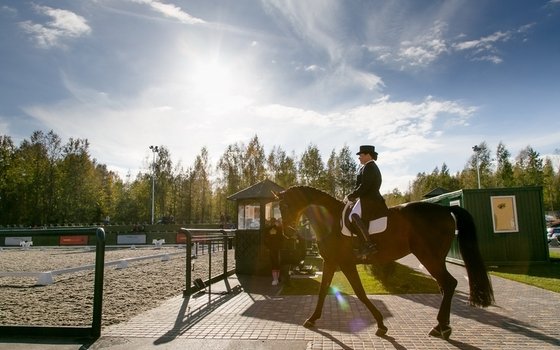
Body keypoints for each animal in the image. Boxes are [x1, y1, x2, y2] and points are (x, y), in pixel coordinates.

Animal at [276, 186, 494, 340]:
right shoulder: (330, 262)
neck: (330, 221)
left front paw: (381, 325)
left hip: (428, 256)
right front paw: (312, 319)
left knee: (449, 284)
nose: (287, 232)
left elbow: (360, 293)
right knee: (445, 286)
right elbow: (322, 291)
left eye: (285, 206)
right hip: (437, 258)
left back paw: (441, 327)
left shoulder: (346, 263)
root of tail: (444, 208)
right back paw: (443, 326)